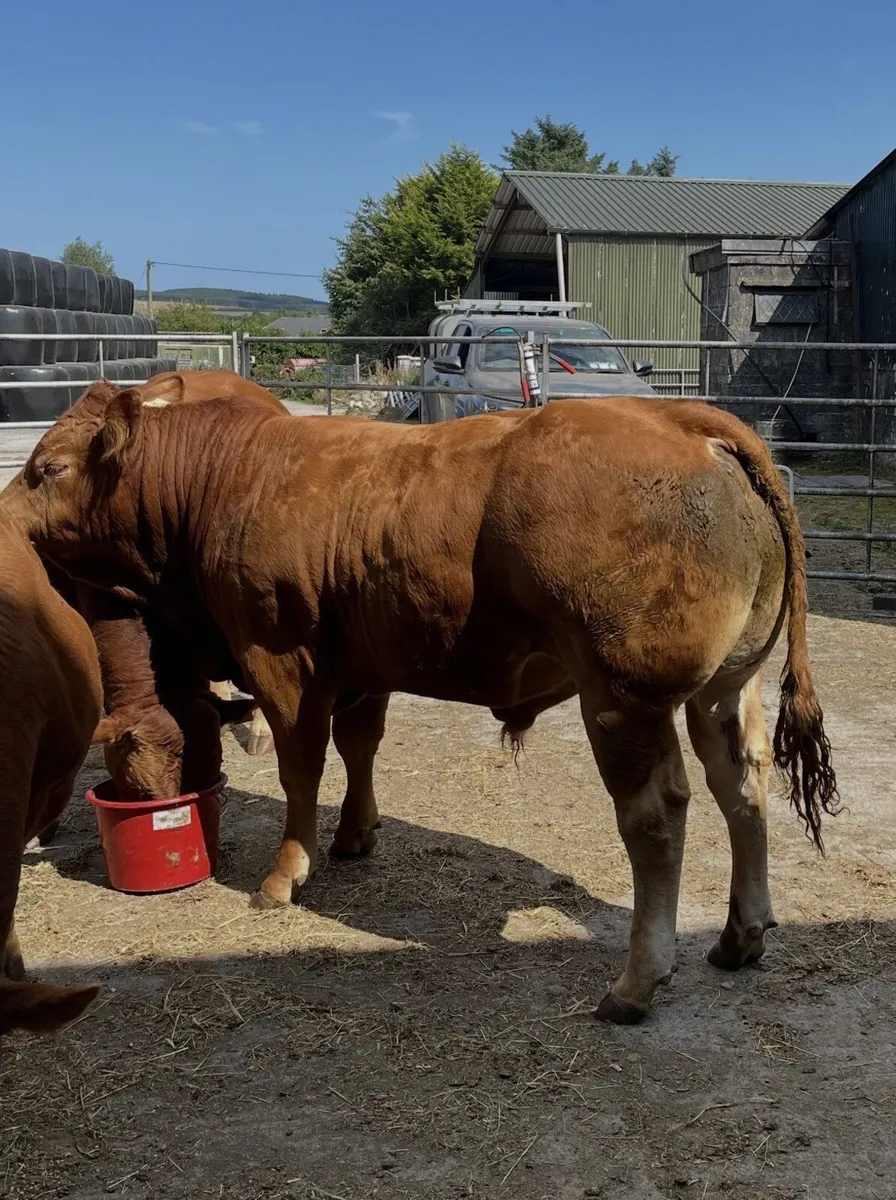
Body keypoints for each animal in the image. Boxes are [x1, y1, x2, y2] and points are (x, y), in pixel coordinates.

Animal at [1, 387, 839, 1023]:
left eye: (48, 468)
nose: (4, 516)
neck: (225, 475)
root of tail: (681, 416)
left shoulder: (279, 658)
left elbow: (301, 769)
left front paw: (286, 873)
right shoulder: (363, 660)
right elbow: (359, 744)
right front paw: (355, 834)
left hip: (622, 697)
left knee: (658, 817)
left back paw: (636, 983)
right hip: (726, 685)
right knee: (743, 785)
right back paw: (740, 936)